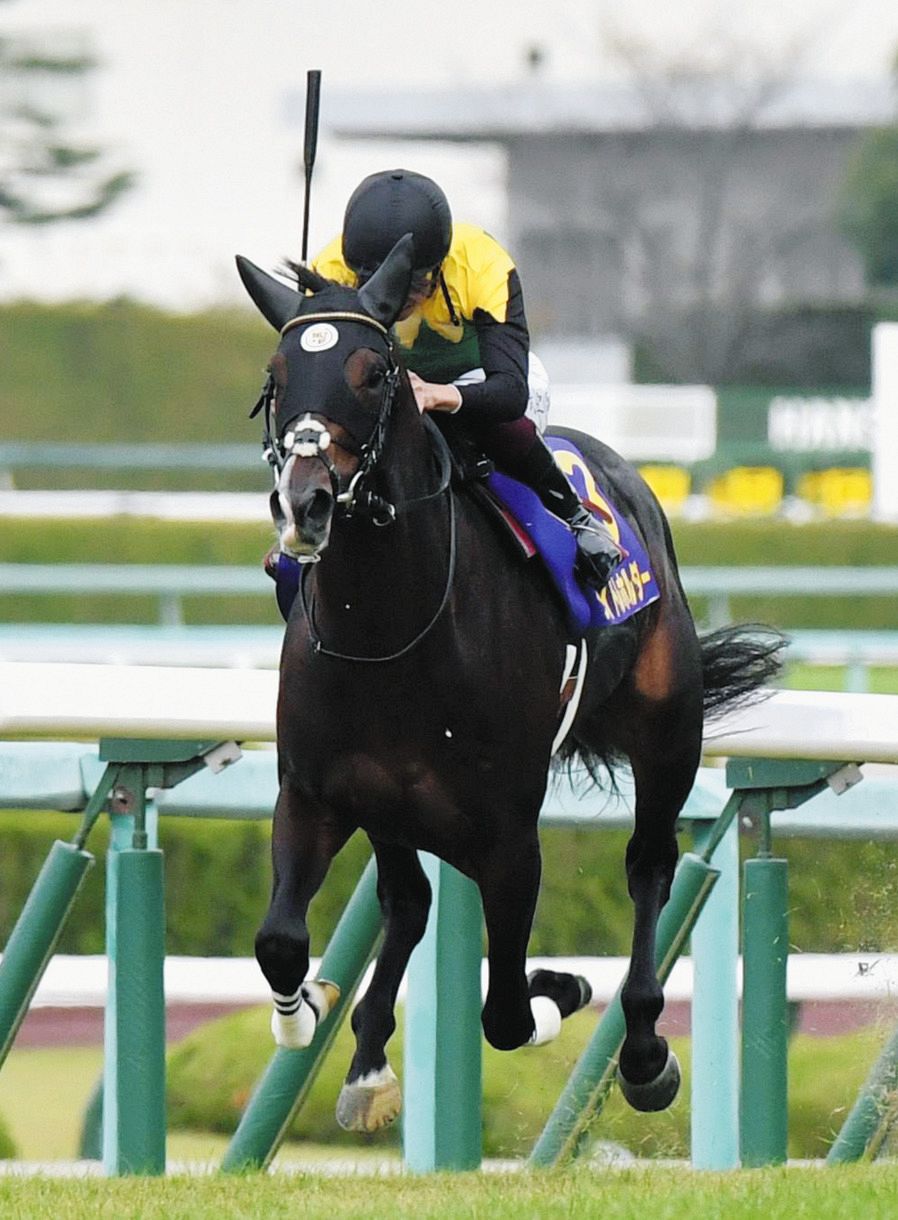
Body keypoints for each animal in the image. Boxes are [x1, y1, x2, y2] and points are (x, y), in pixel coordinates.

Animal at [235, 234, 784, 1134]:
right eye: (277, 377)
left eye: (374, 372)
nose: (306, 504)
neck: (394, 631)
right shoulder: (315, 794)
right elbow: (281, 941)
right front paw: (306, 1012)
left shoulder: (507, 835)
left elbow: (506, 1012)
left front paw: (562, 989)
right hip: (390, 804)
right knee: (408, 898)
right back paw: (366, 1060)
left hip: (667, 732)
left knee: (648, 865)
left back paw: (641, 1050)